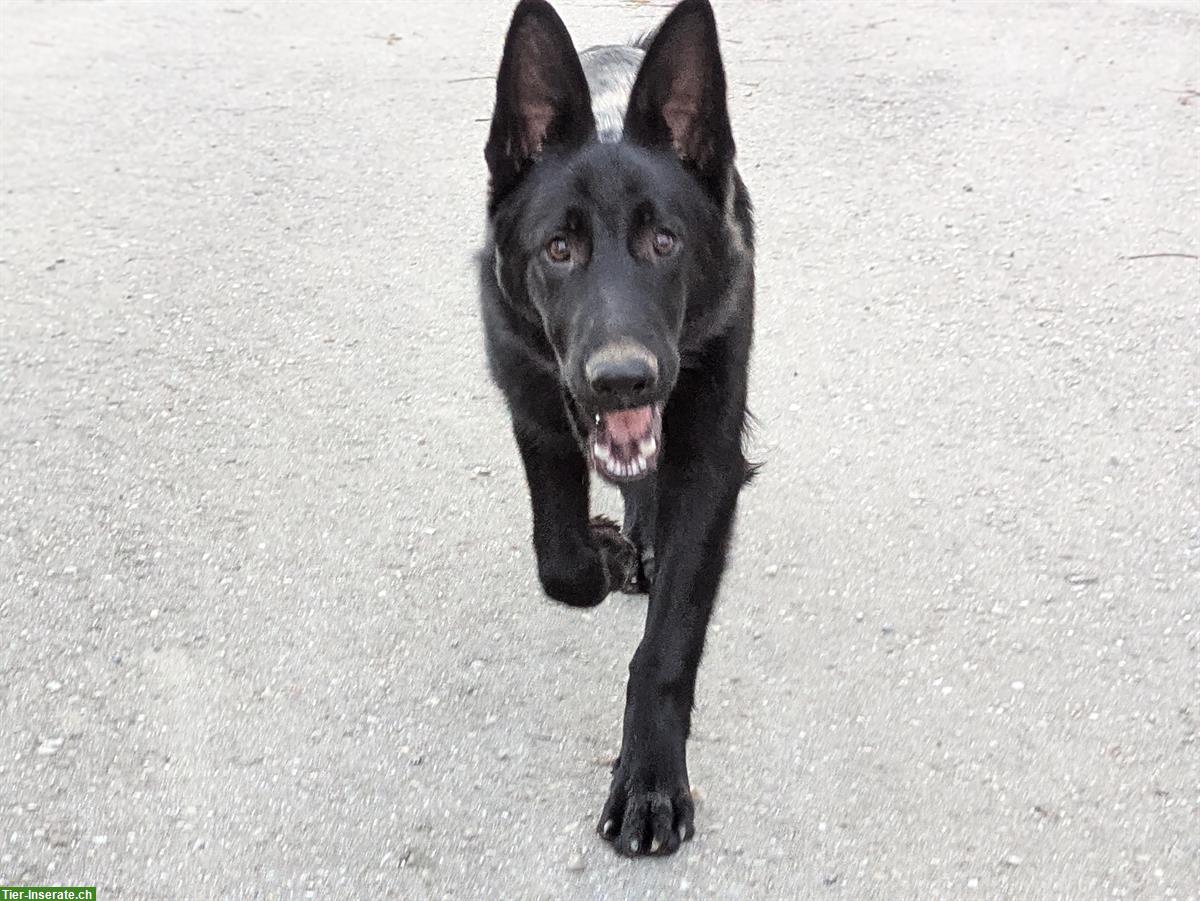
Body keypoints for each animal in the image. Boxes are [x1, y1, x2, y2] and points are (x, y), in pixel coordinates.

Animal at [475, 0, 748, 859]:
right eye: (559, 248)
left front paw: (650, 783)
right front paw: (599, 553)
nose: (623, 377)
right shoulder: (534, 400)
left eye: (665, 241)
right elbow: (558, 559)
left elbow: (668, 644)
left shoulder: (710, 455)